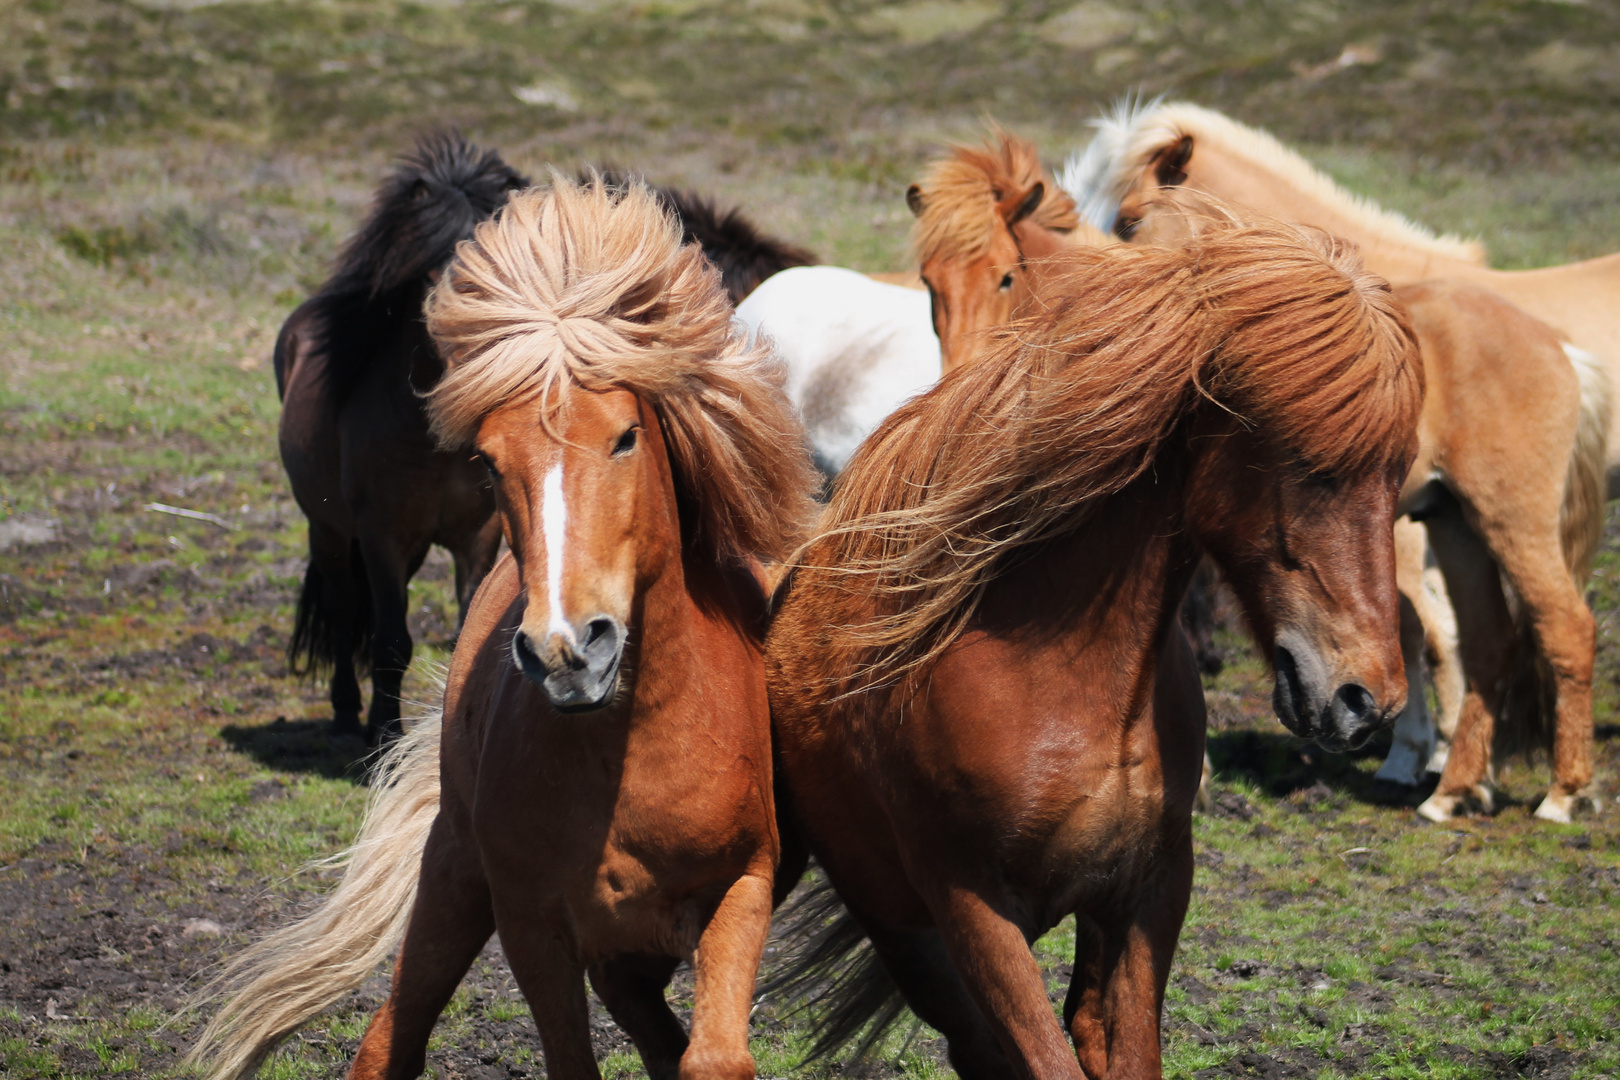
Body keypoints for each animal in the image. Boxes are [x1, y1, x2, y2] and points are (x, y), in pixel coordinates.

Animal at [192, 177, 822, 1080]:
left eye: (626, 436)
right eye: (489, 461)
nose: (567, 650)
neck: (626, 760)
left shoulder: (742, 887)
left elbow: (711, 1058)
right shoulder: (532, 924)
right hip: (455, 876)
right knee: (392, 1036)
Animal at [761, 220, 1419, 1080]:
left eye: (1399, 477)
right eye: (1312, 467)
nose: (1366, 699)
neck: (1061, 681)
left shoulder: (1148, 894)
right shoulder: (971, 910)